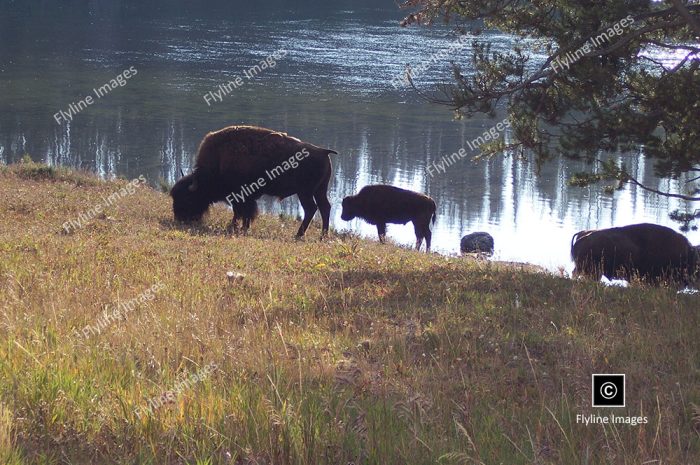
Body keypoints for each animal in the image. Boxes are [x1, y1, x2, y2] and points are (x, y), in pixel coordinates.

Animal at [174, 125, 340, 237]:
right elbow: (241, 212)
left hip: (305, 192)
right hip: (319, 190)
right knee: (325, 208)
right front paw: (238, 227)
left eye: (187, 198)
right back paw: (323, 235)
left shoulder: (242, 195)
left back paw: (299, 234)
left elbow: (242, 211)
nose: (179, 218)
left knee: (311, 209)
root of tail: (323, 151)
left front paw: (239, 227)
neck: (219, 159)